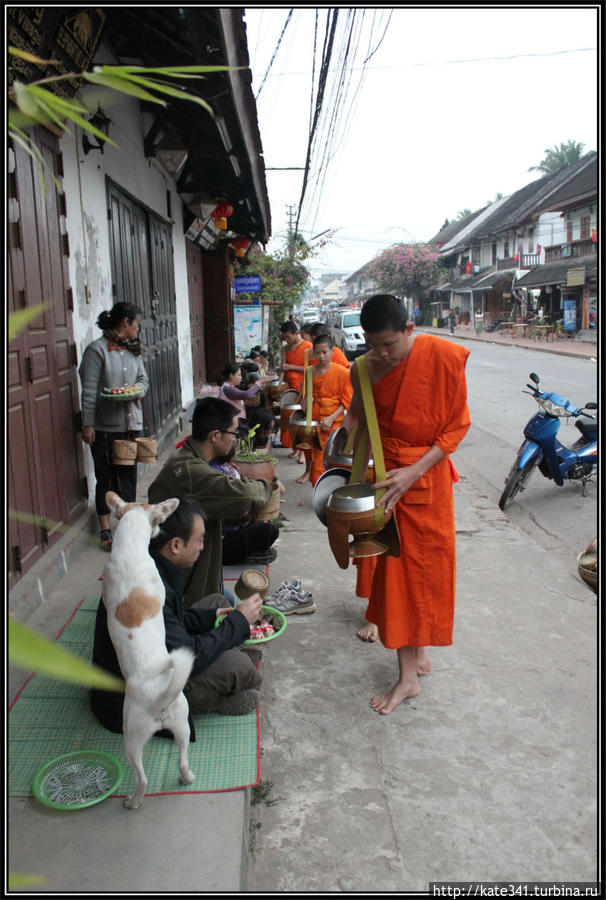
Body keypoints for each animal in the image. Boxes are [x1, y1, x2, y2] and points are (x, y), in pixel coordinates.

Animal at [101, 492, 194, 808]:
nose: (159, 531)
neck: (130, 546)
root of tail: (159, 698)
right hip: (182, 724)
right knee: (182, 759)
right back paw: (187, 778)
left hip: (131, 737)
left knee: (142, 778)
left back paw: (133, 801)